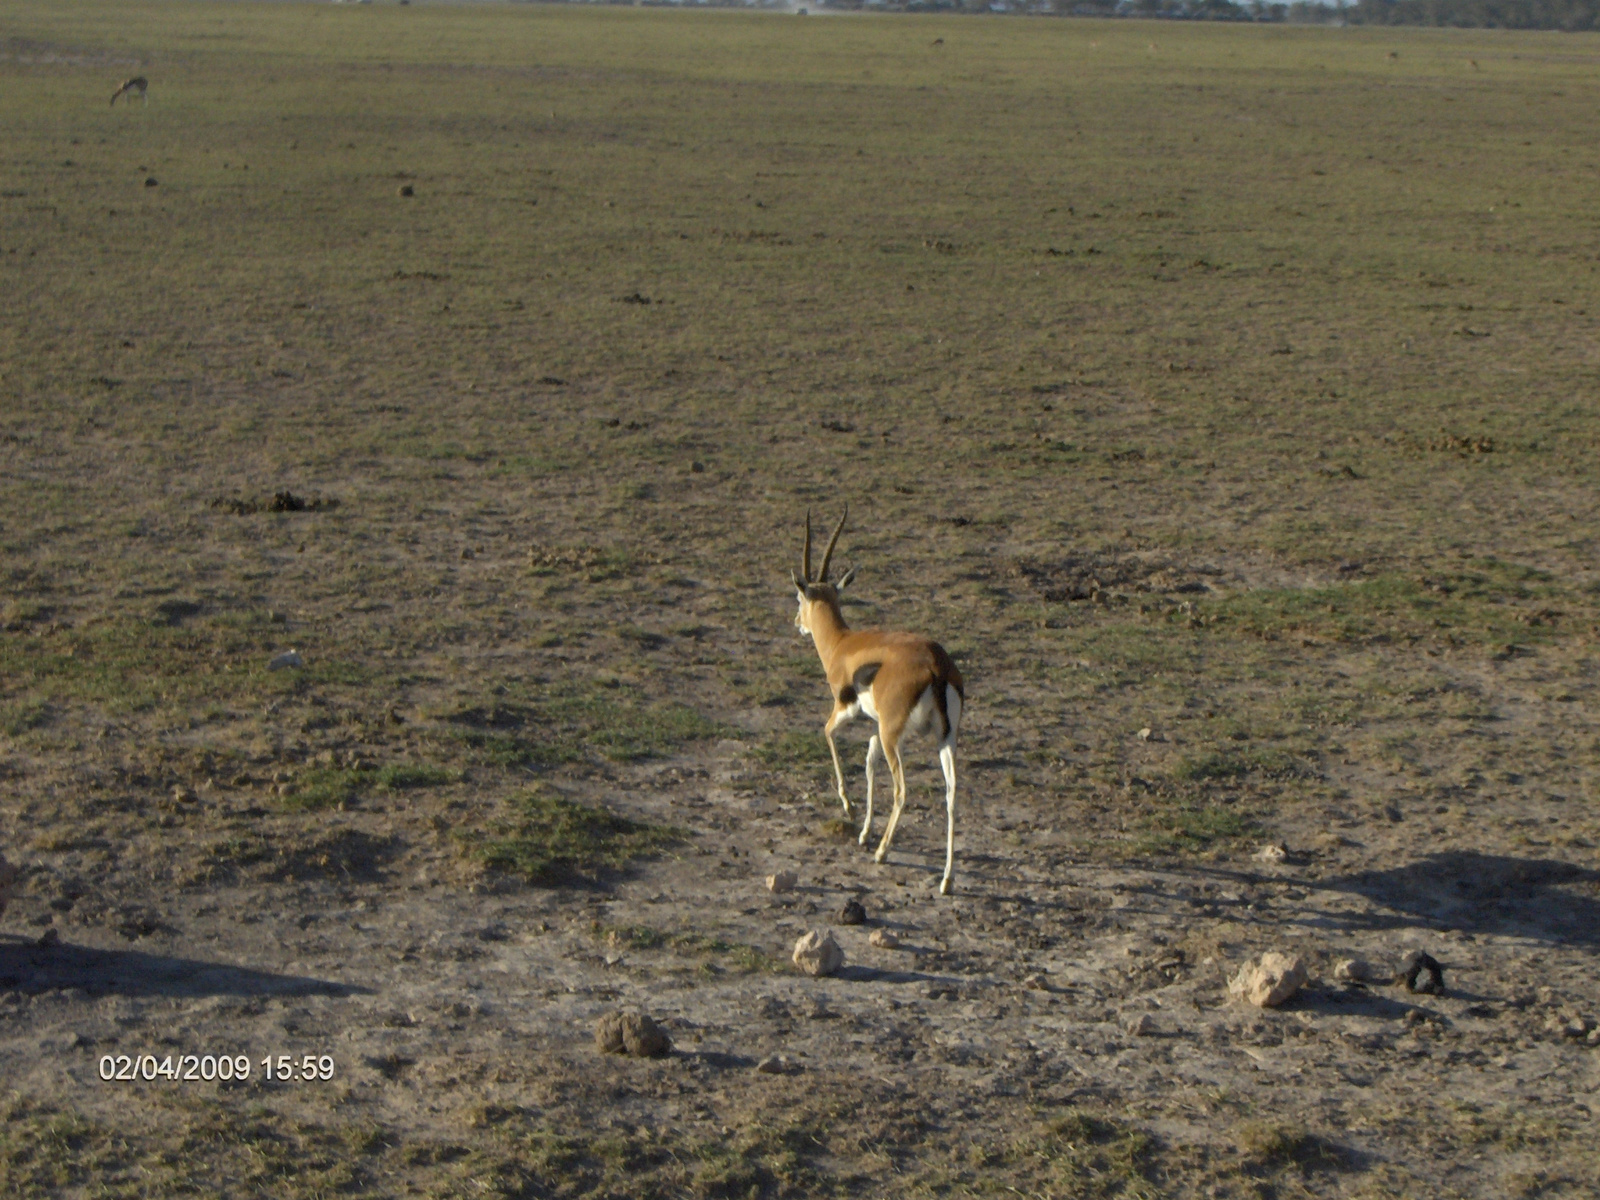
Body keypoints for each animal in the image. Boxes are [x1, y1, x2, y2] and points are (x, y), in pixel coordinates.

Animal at [787, 508, 960, 896]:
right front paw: (864, 832)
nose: (797, 623)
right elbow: (868, 764)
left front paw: (850, 811)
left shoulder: (846, 711)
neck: (842, 644)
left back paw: (884, 853)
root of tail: (937, 665)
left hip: (895, 736)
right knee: (952, 794)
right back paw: (946, 879)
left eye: (798, 598)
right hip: (942, 739)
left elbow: (828, 734)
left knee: (902, 790)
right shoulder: (874, 727)